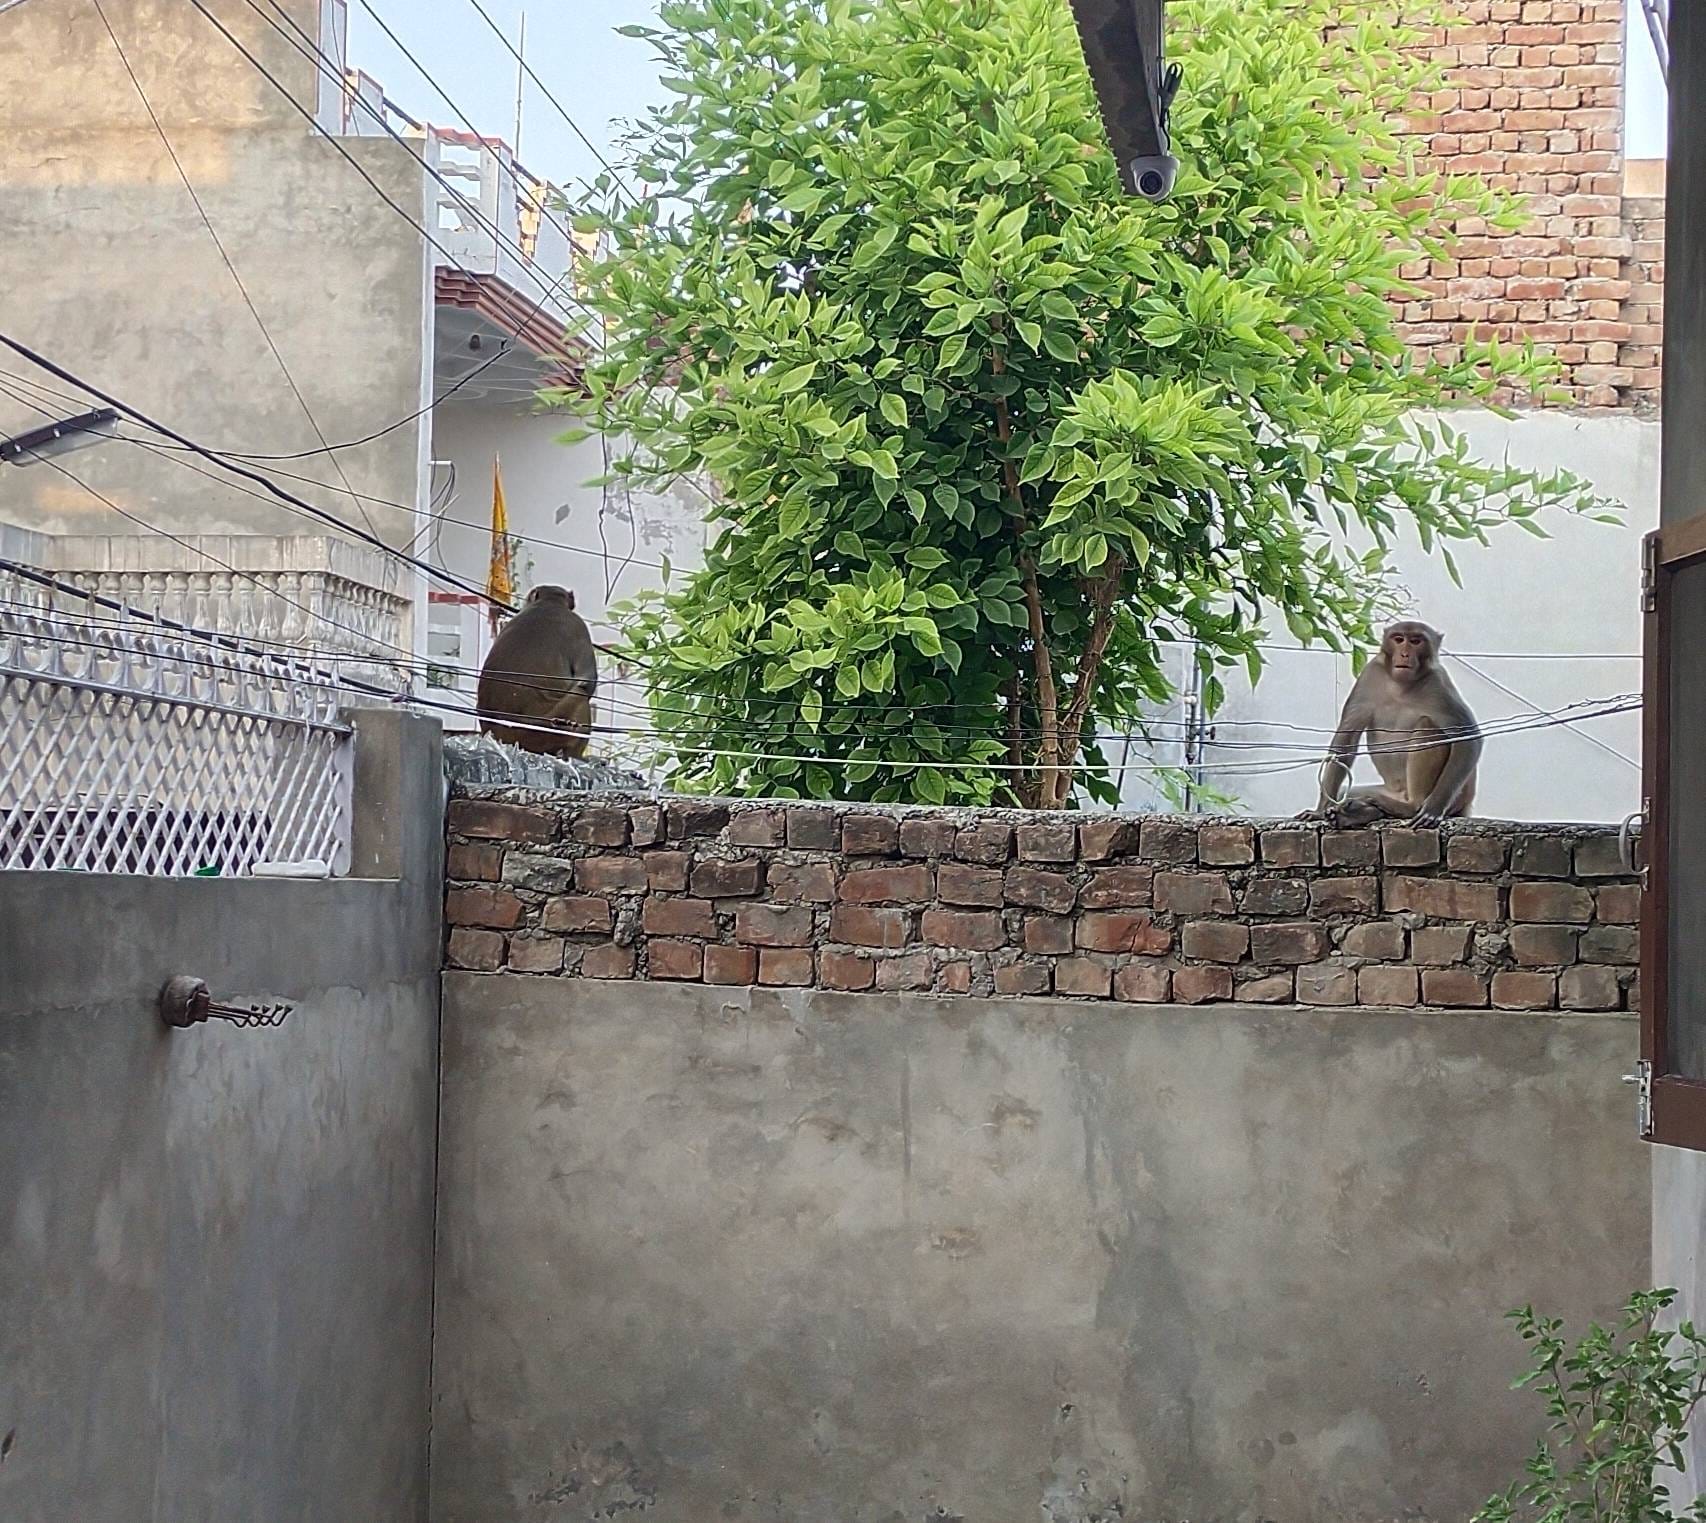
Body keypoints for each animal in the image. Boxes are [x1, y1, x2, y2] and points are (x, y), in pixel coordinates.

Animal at [1300, 620, 1481, 829]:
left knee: (1428, 724)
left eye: (1416, 641)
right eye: (1399, 639)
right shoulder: (1370, 674)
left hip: (1459, 795)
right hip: (1387, 791)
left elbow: (1468, 737)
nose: (1404, 654)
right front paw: (1320, 811)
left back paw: (1412, 806)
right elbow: (1347, 739)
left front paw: (1433, 808)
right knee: (1350, 792)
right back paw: (1357, 812)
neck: (1401, 686)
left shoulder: (1440, 685)